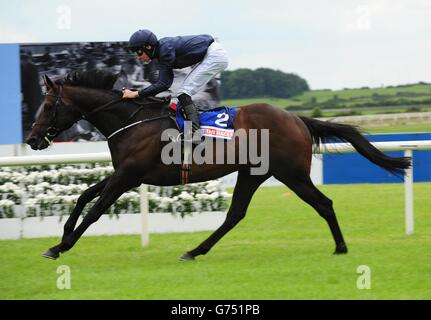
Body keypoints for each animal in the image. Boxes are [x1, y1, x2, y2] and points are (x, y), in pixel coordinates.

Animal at [24, 69, 412, 260]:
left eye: (48, 106)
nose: (32, 138)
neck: (131, 120)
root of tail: (297, 119)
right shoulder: (125, 174)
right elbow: (83, 196)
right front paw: (61, 237)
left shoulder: (128, 176)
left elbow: (95, 210)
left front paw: (60, 247)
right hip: (253, 173)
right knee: (235, 214)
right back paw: (195, 250)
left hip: (292, 173)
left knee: (324, 203)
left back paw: (341, 247)